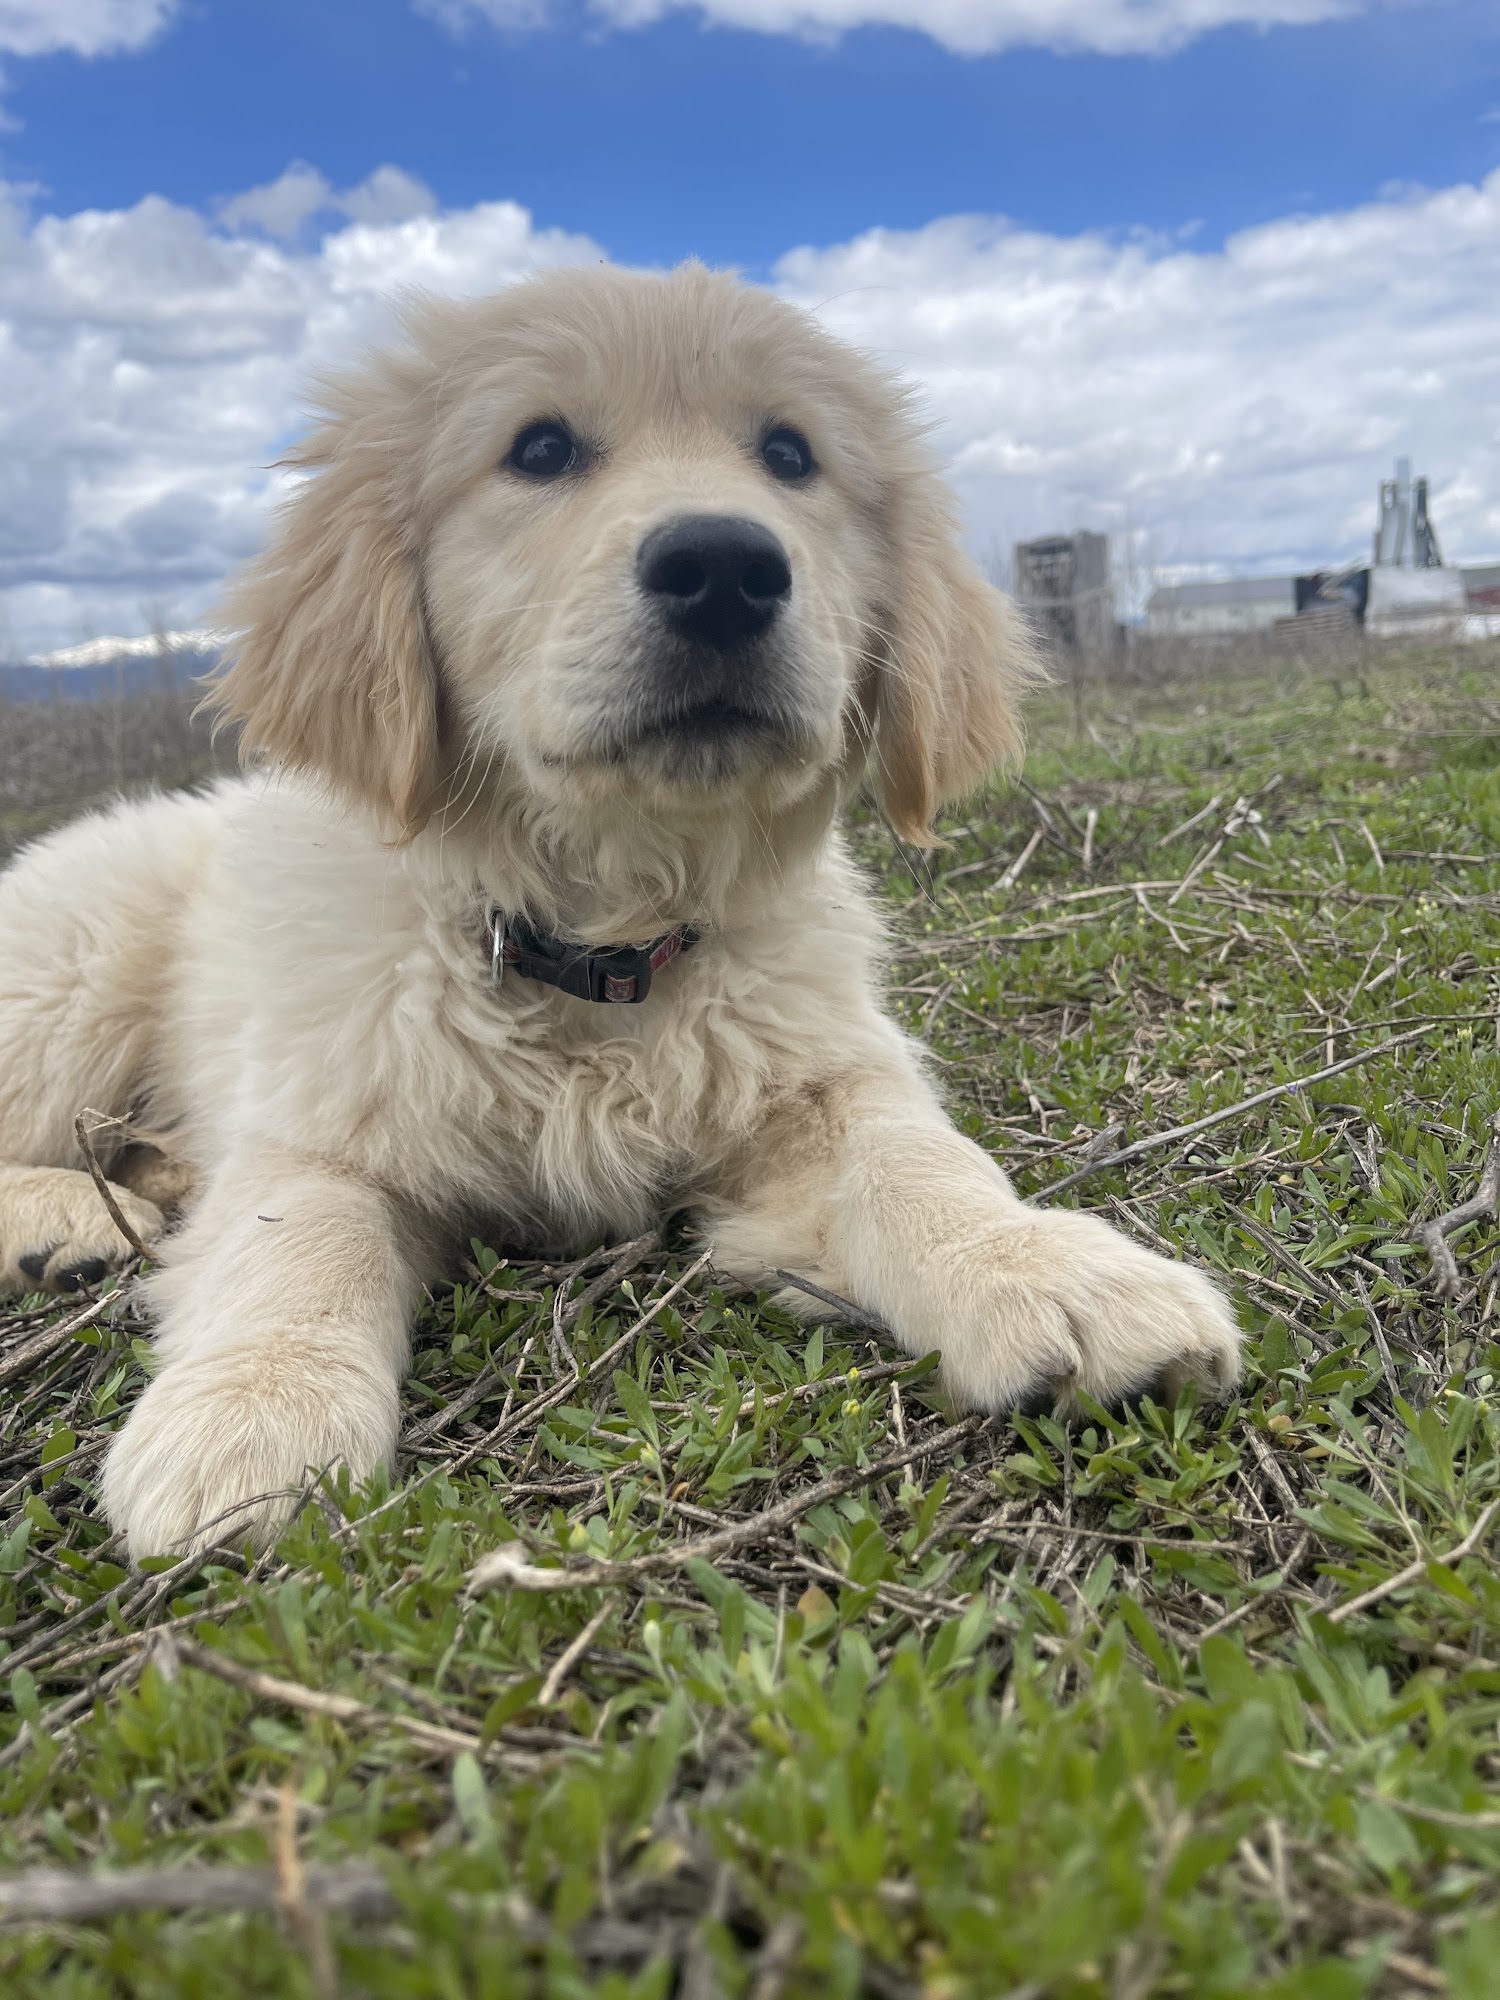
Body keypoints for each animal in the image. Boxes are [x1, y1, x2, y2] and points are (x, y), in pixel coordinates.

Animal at [0, 264, 1241, 1557]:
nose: (726, 567)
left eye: (790, 454)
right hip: (71, 975)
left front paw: (1043, 1266)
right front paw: (251, 1411)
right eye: (539, 449)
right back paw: (65, 1221)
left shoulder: (824, 1073)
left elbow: (921, 1159)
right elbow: (295, 1238)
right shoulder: (320, 1118)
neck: (597, 937)